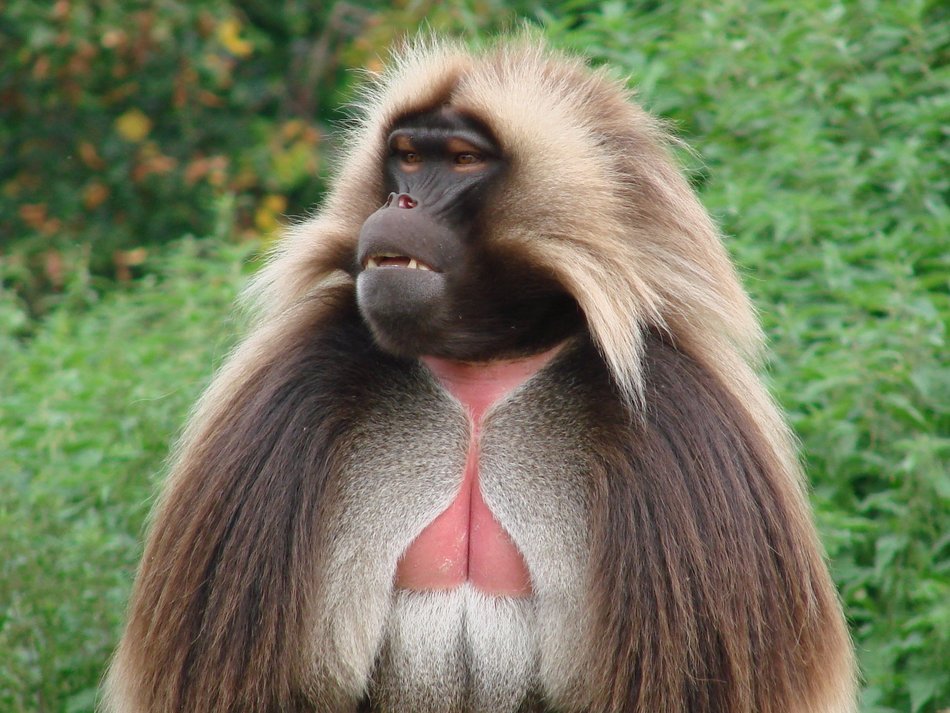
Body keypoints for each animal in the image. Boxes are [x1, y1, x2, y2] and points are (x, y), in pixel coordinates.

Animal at [104, 38, 857, 713]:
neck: (483, 359)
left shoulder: (686, 431)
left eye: (463, 160)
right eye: (407, 157)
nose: (399, 206)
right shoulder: (282, 405)